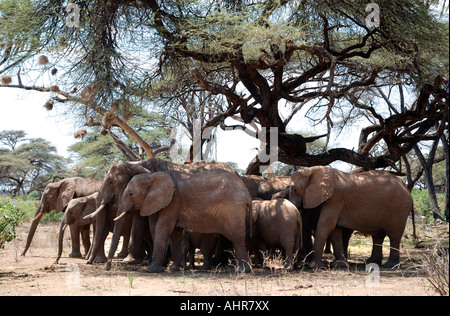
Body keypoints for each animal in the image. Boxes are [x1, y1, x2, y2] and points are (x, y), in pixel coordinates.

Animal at [107, 169, 251, 272]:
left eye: (130, 194)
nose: (108, 268)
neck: (152, 176)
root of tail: (247, 193)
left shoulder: (173, 201)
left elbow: (163, 228)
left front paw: (152, 270)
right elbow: (175, 233)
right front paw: (174, 269)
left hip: (233, 209)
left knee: (237, 238)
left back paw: (241, 270)